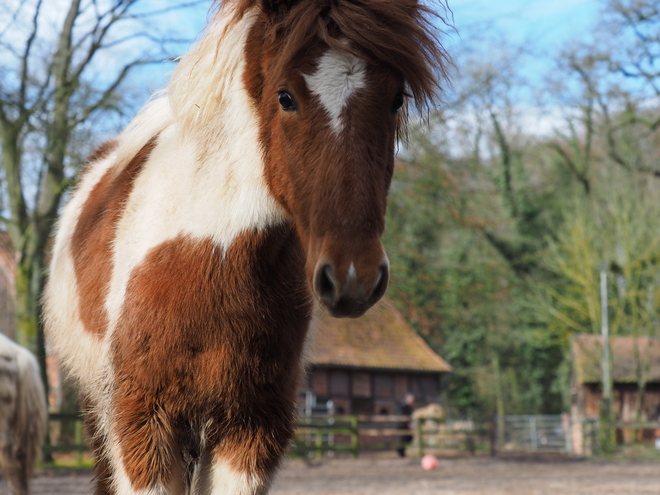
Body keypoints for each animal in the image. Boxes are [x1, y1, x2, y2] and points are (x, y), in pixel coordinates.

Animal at [45, 0, 448, 494]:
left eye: (395, 99)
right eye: (285, 97)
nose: (354, 276)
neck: (208, 261)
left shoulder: (250, 431)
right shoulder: (142, 426)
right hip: (98, 413)